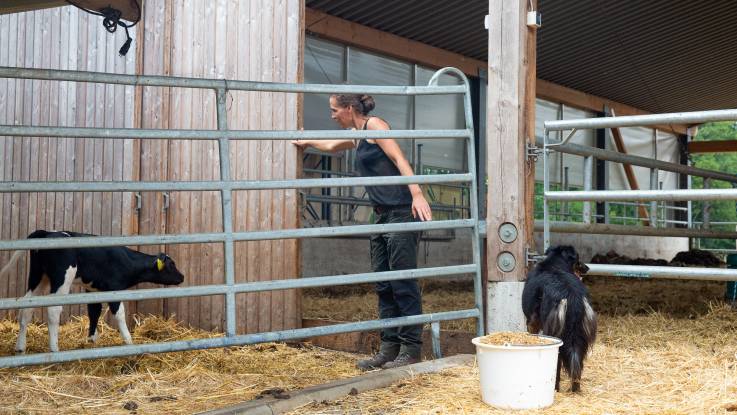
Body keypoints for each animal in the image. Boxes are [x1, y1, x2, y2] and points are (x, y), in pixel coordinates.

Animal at [0, 231, 184, 354]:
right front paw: (129, 341)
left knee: (27, 307)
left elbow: (94, 312)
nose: (182, 277)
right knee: (53, 310)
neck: (127, 260)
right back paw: (54, 349)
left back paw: (20, 348)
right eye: (171, 265)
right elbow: (119, 313)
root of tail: (47, 232)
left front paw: (91, 340)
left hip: (38, 277)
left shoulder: (93, 290)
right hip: (61, 280)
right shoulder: (114, 289)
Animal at [520, 247, 596, 394]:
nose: (587, 268)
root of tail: (572, 295)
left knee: (557, 362)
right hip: (579, 337)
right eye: (578, 259)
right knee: (577, 366)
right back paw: (575, 389)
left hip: (555, 334)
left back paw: (555, 388)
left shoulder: (532, 323)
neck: (554, 264)